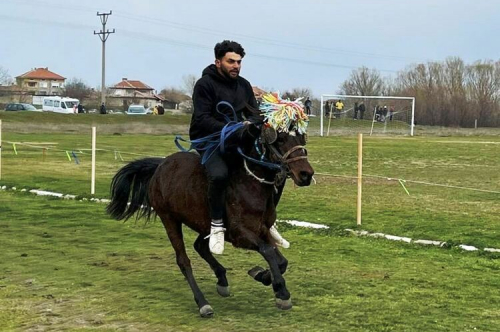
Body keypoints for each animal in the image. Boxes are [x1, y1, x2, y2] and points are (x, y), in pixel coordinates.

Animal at [107, 126, 314, 318]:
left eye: (302, 138)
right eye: (280, 139)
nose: (306, 174)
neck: (251, 184)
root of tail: (161, 165)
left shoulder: (262, 229)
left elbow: (280, 260)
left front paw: (263, 276)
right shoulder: (240, 234)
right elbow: (268, 251)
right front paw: (281, 291)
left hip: (204, 224)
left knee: (200, 246)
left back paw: (222, 279)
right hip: (170, 220)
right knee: (184, 261)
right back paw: (203, 303)